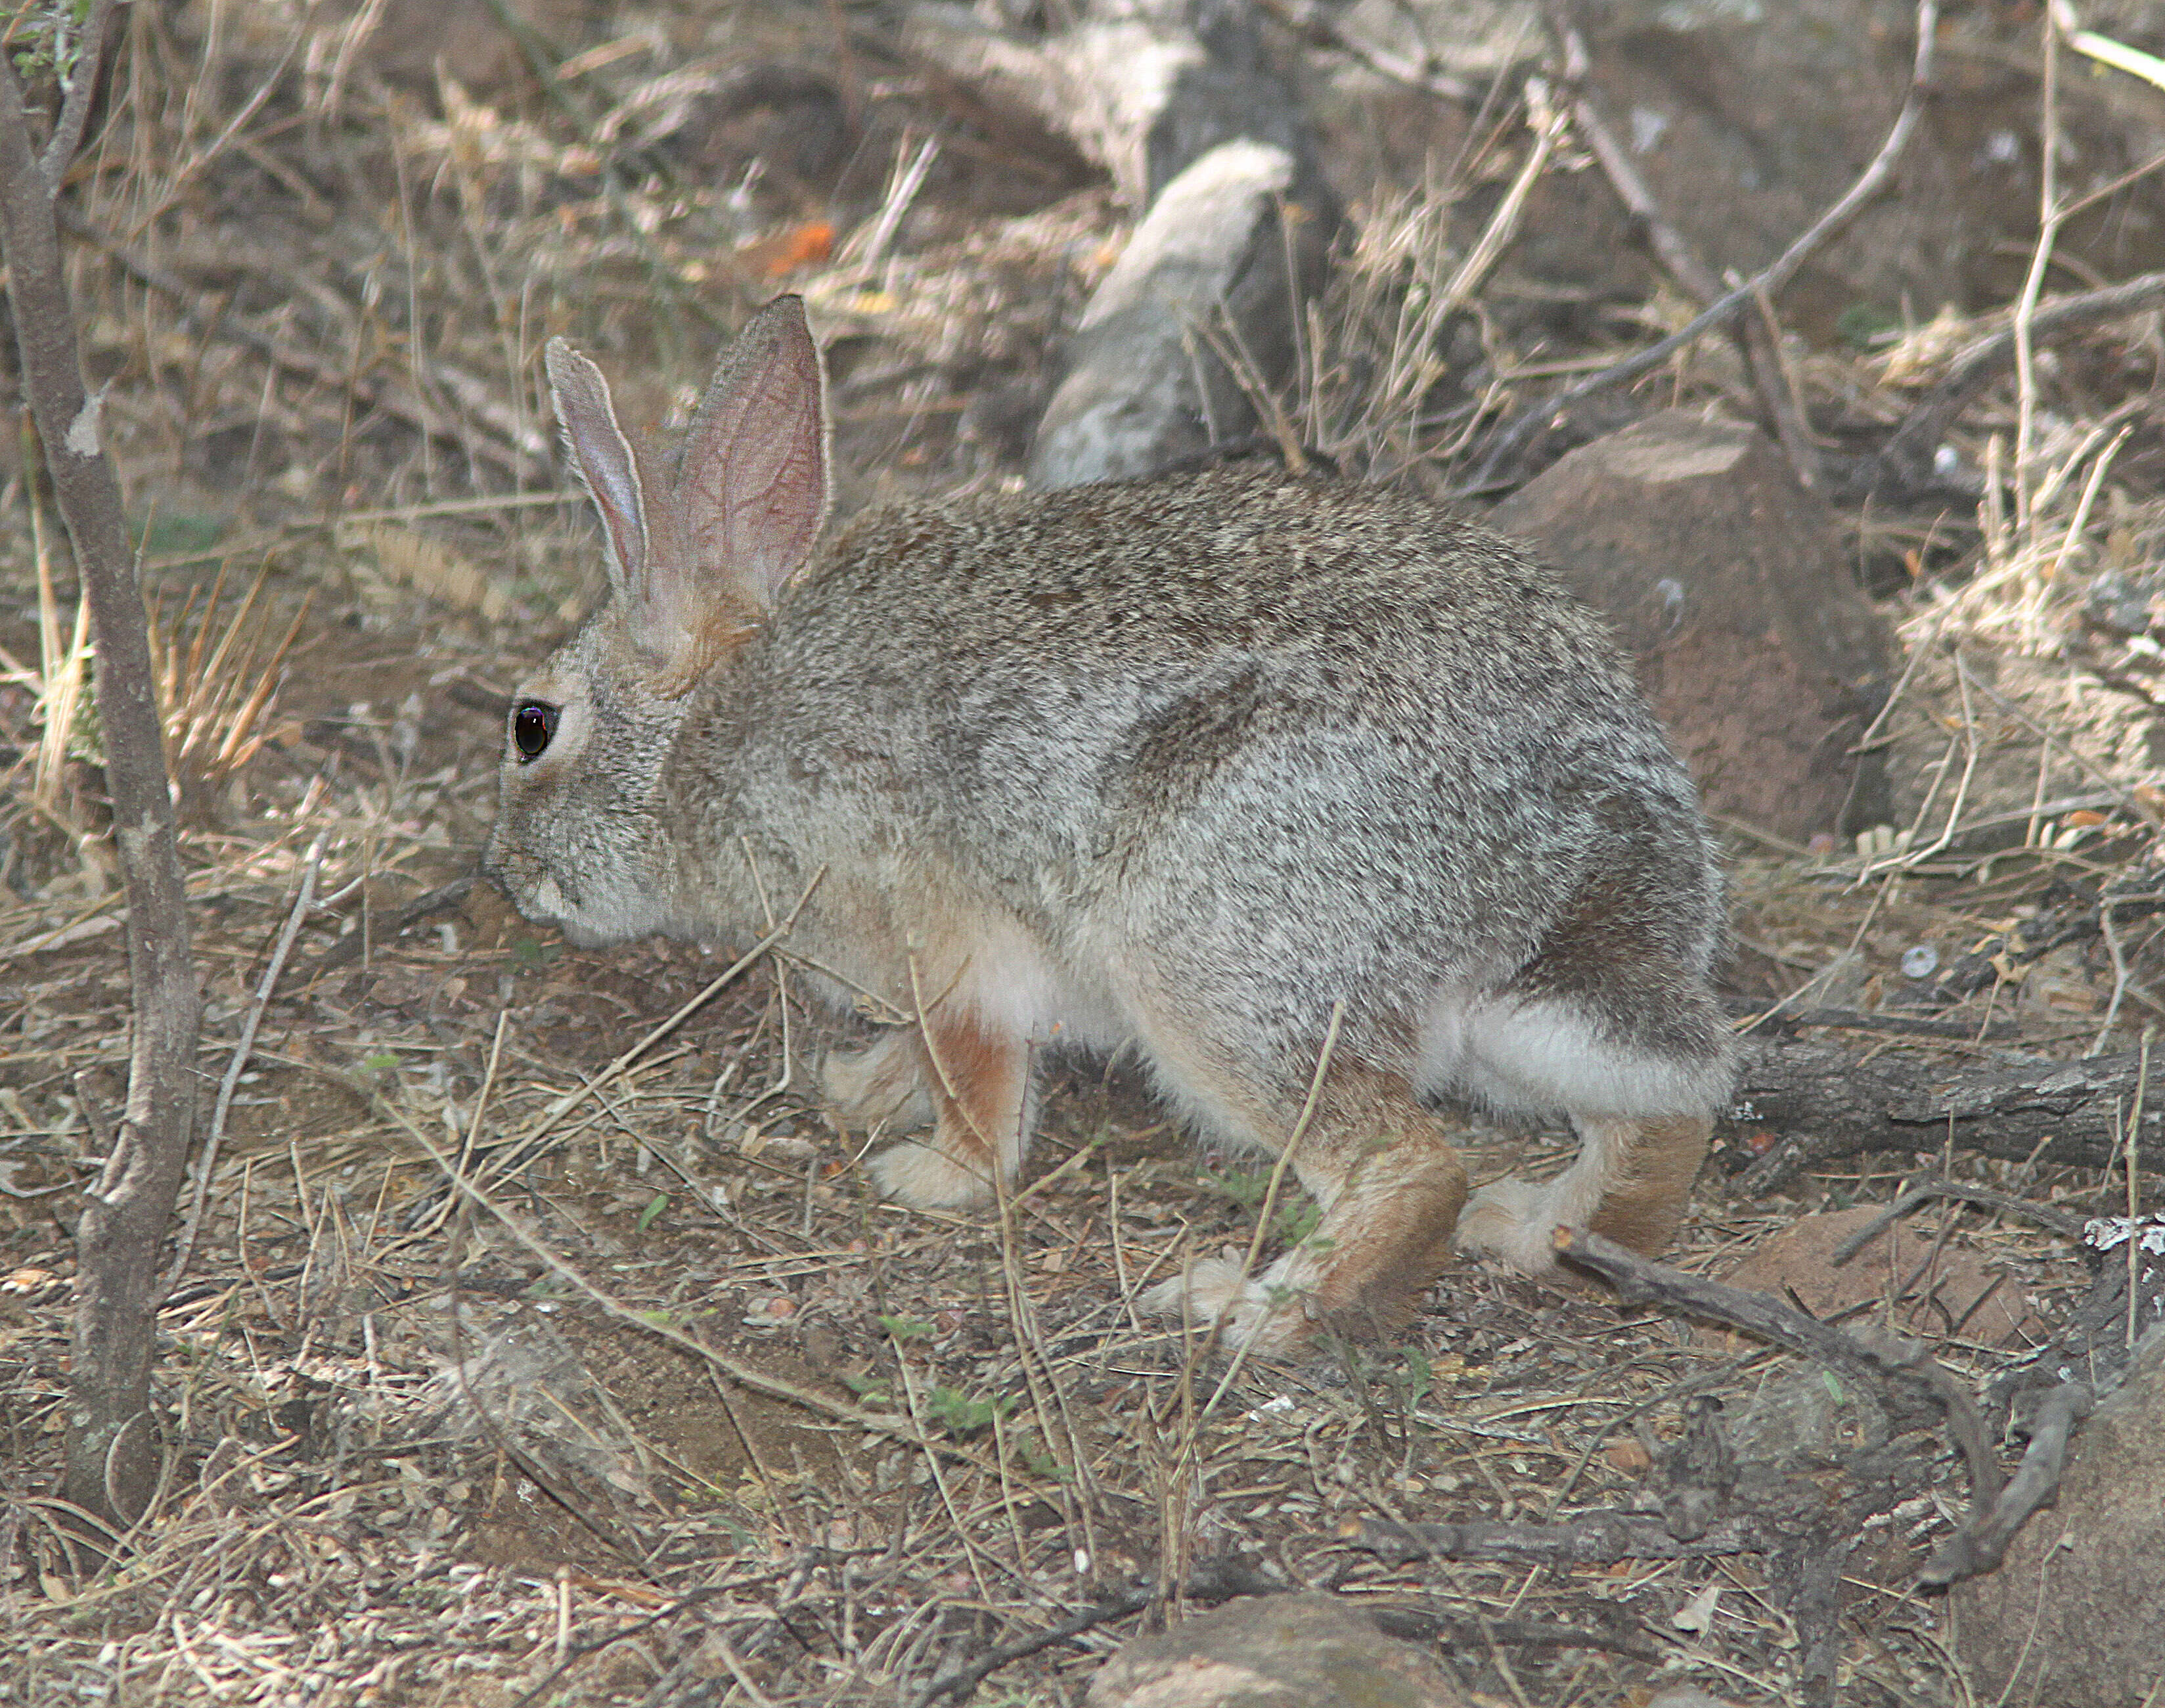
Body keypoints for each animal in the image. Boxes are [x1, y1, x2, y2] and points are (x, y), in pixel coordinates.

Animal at [483, 301, 1731, 1351]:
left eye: (532, 726)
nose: (503, 875)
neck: (700, 737)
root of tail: (1562, 843)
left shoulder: (936, 929)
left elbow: (977, 1073)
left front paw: (934, 1173)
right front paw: (862, 1085)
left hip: (1206, 966)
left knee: (1409, 1165)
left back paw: (1255, 1311)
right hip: (1503, 1031)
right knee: (1666, 1115)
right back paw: (1545, 1229)